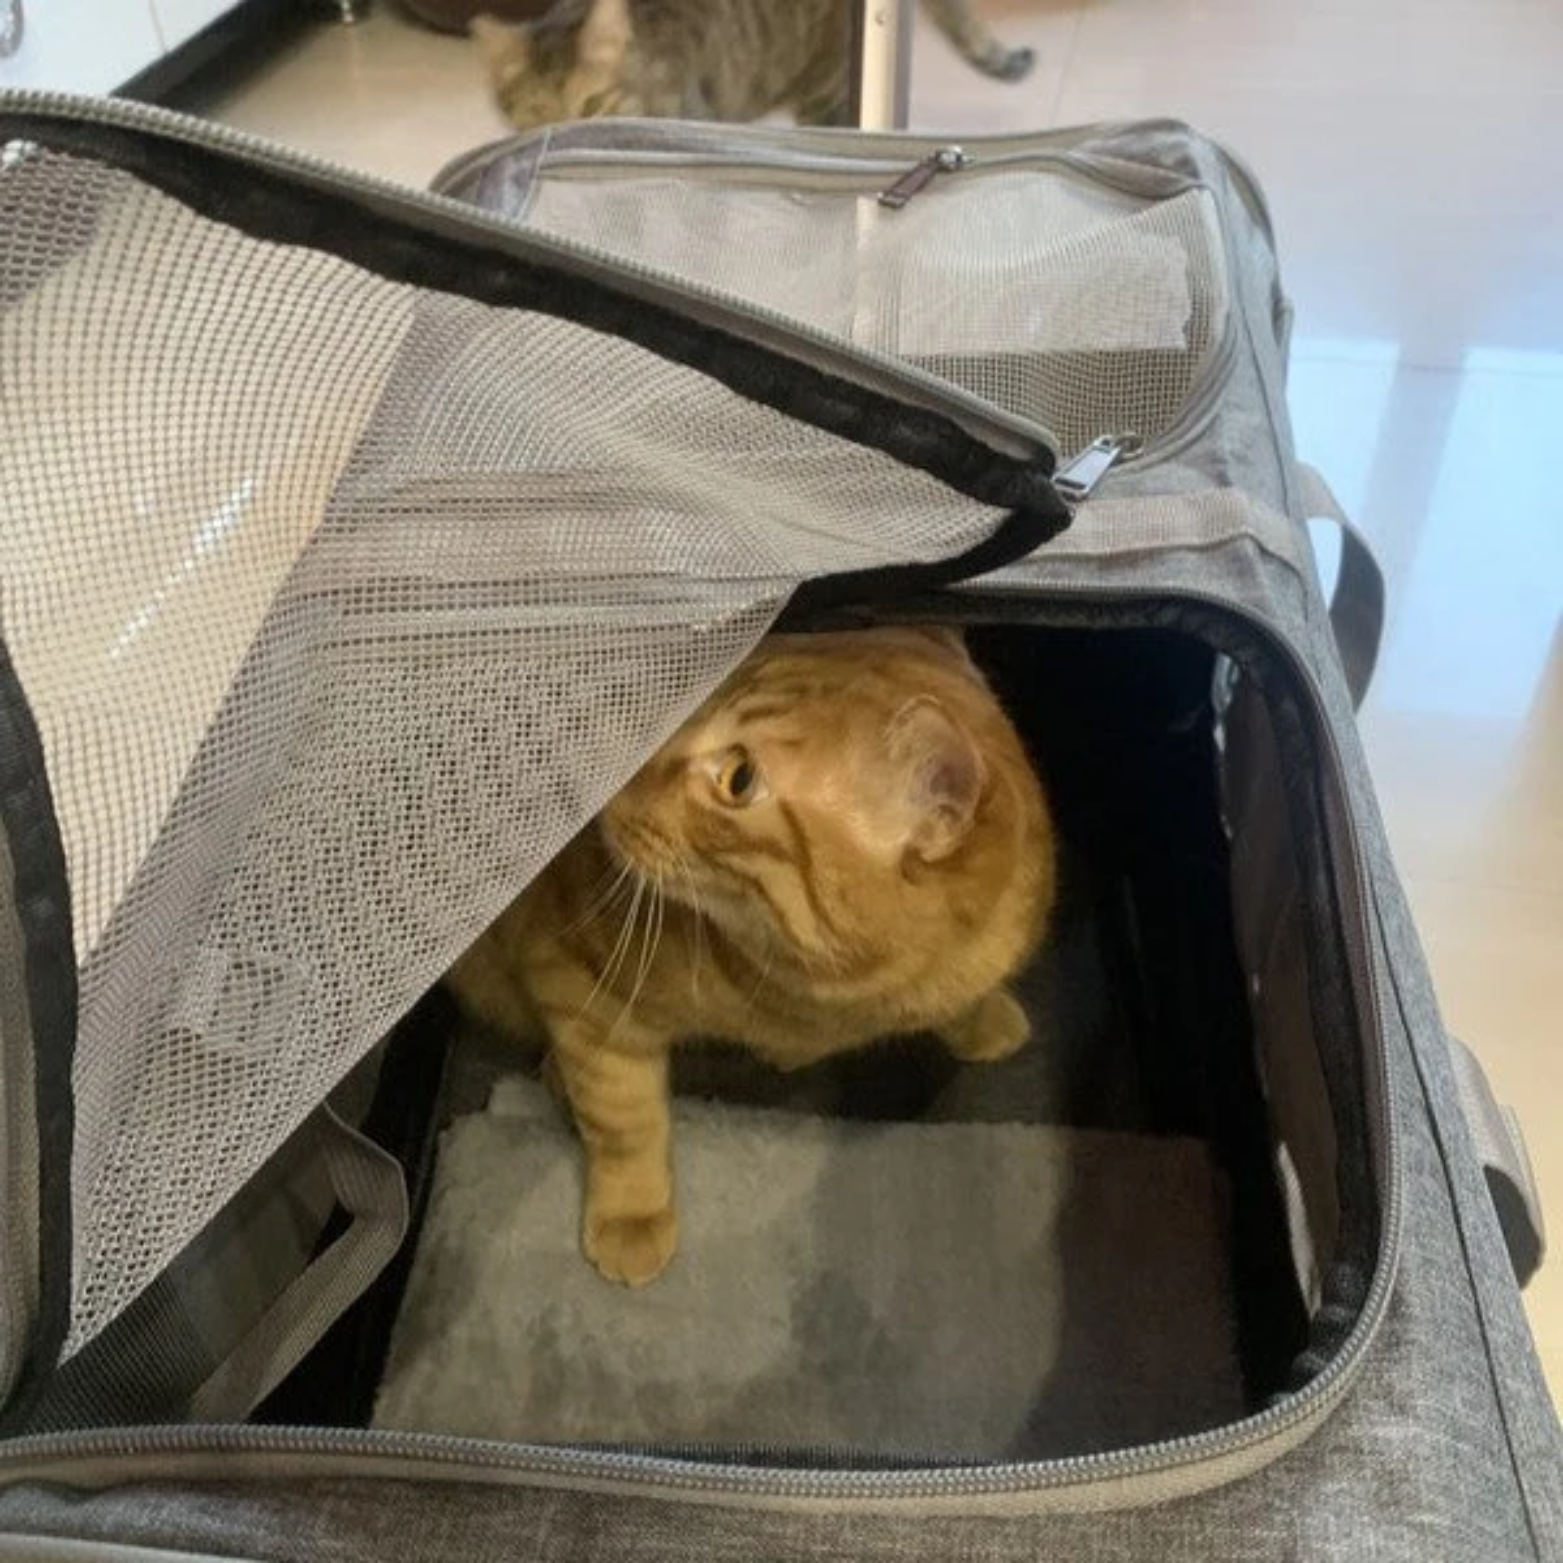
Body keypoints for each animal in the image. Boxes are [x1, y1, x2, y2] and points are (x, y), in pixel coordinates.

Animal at [446, 626, 1056, 1285]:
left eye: (739, 779)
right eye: (689, 697)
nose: (618, 782)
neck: (830, 997)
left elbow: (963, 1003)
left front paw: (986, 1020)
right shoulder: (578, 984)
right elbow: (625, 1115)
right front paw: (633, 1216)